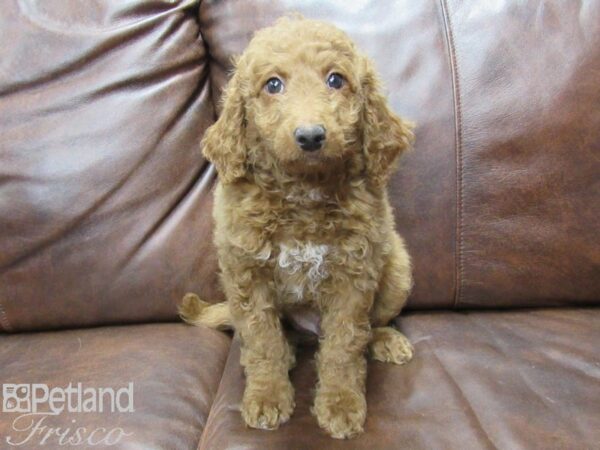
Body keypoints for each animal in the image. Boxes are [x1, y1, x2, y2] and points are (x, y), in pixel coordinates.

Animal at [180, 15, 414, 438]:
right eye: (273, 84)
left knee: (371, 325)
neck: (303, 192)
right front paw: (267, 396)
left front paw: (340, 404)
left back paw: (386, 340)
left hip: (398, 270)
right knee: (270, 337)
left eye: (336, 80)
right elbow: (261, 340)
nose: (310, 136)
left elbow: (344, 344)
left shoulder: (354, 276)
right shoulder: (246, 274)